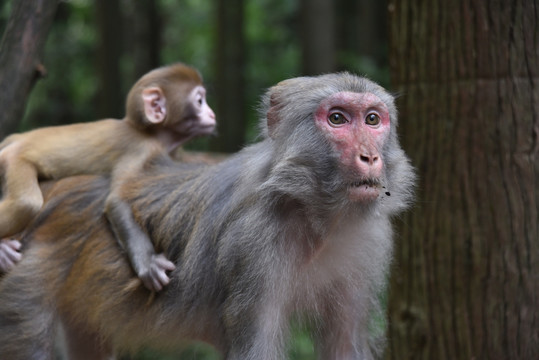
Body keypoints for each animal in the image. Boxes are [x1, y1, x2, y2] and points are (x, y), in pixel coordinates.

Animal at [0, 63, 217, 292]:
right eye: (199, 101)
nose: (212, 114)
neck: (151, 133)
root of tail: (14, 141)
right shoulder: (140, 149)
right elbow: (116, 200)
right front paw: (148, 263)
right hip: (13, 161)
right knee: (27, 203)